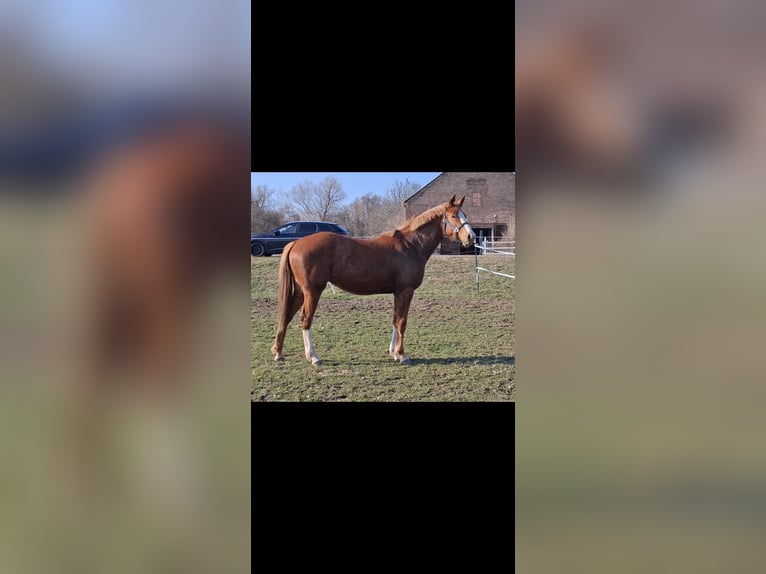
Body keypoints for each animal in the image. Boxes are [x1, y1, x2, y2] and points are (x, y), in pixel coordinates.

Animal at [271, 194, 476, 366]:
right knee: (305, 320)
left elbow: (395, 320)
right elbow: (402, 322)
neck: (411, 246)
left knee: (287, 316)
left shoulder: (398, 293)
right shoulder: (406, 291)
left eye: (465, 214)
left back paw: (279, 352)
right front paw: (402, 355)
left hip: (300, 292)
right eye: (454, 216)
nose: (471, 237)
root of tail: (296, 242)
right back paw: (313, 357)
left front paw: (394, 353)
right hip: (312, 291)